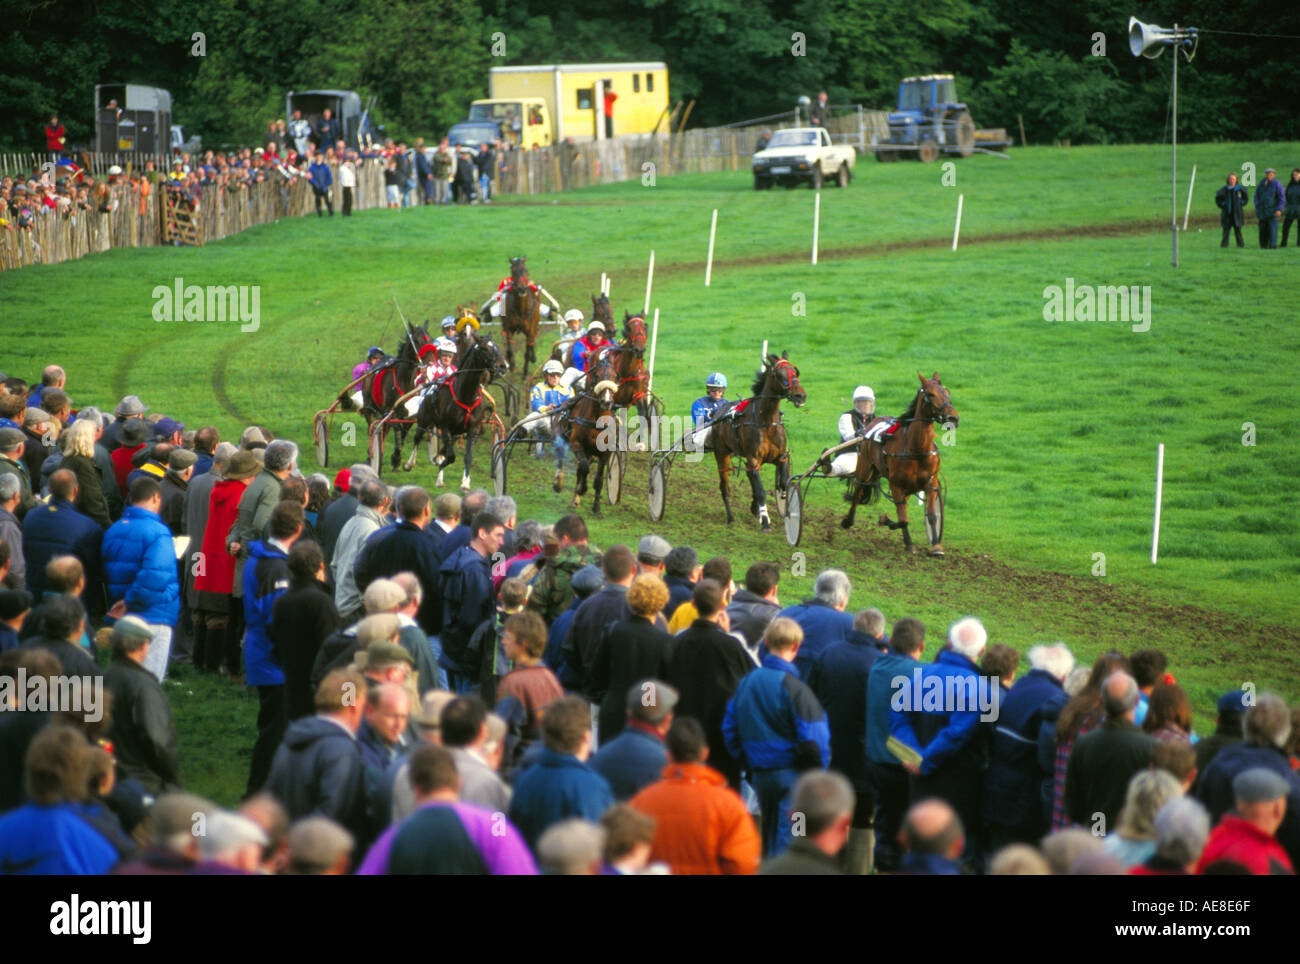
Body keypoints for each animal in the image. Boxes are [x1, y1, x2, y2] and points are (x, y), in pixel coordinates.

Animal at [712, 353, 800, 532]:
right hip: (722, 454)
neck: (766, 422)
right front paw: (765, 520)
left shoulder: (780, 457)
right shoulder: (753, 458)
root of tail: (719, 412)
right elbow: (760, 491)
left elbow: (783, 484)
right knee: (725, 488)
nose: (801, 395)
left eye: (795, 371)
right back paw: (730, 517)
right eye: (780, 374)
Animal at [837, 376, 961, 558]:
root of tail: (872, 422)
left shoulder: (930, 484)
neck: (916, 449)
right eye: (931, 394)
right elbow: (903, 520)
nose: (953, 418)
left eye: (947, 392)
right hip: (864, 468)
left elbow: (931, 516)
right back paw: (848, 520)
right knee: (858, 491)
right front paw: (896, 531)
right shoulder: (896, 485)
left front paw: (936, 546)